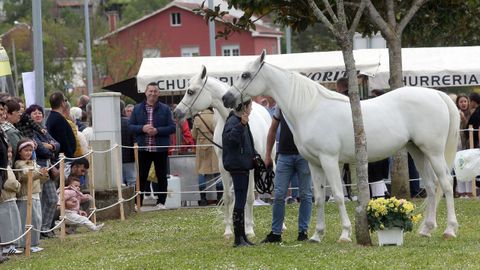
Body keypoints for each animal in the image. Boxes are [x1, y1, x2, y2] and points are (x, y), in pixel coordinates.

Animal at [172, 67, 274, 238]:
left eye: (191, 91)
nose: (176, 113)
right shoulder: (223, 166)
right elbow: (228, 197)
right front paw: (228, 231)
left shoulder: (251, 166)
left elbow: (249, 197)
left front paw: (249, 230)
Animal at [223, 51, 460, 243]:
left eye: (245, 75)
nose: (227, 98)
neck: (309, 108)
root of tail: (437, 94)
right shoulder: (314, 164)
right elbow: (319, 198)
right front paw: (317, 235)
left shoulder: (329, 160)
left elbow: (337, 194)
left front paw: (345, 234)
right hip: (417, 150)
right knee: (431, 186)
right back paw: (426, 230)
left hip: (433, 152)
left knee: (446, 184)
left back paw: (449, 230)